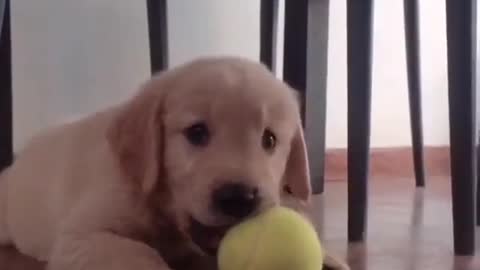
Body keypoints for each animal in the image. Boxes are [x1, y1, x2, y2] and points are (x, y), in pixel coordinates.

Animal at [0, 57, 346, 270]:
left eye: (270, 140)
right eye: (196, 133)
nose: (240, 198)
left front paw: (333, 259)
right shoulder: (82, 238)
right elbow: (140, 253)